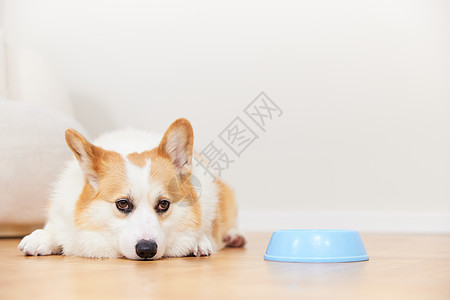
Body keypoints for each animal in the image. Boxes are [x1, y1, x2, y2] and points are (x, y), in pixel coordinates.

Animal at [17, 118, 246, 258]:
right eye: (122, 204)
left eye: (164, 204)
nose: (146, 250)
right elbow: (57, 229)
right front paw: (43, 236)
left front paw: (199, 241)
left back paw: (234, 237)